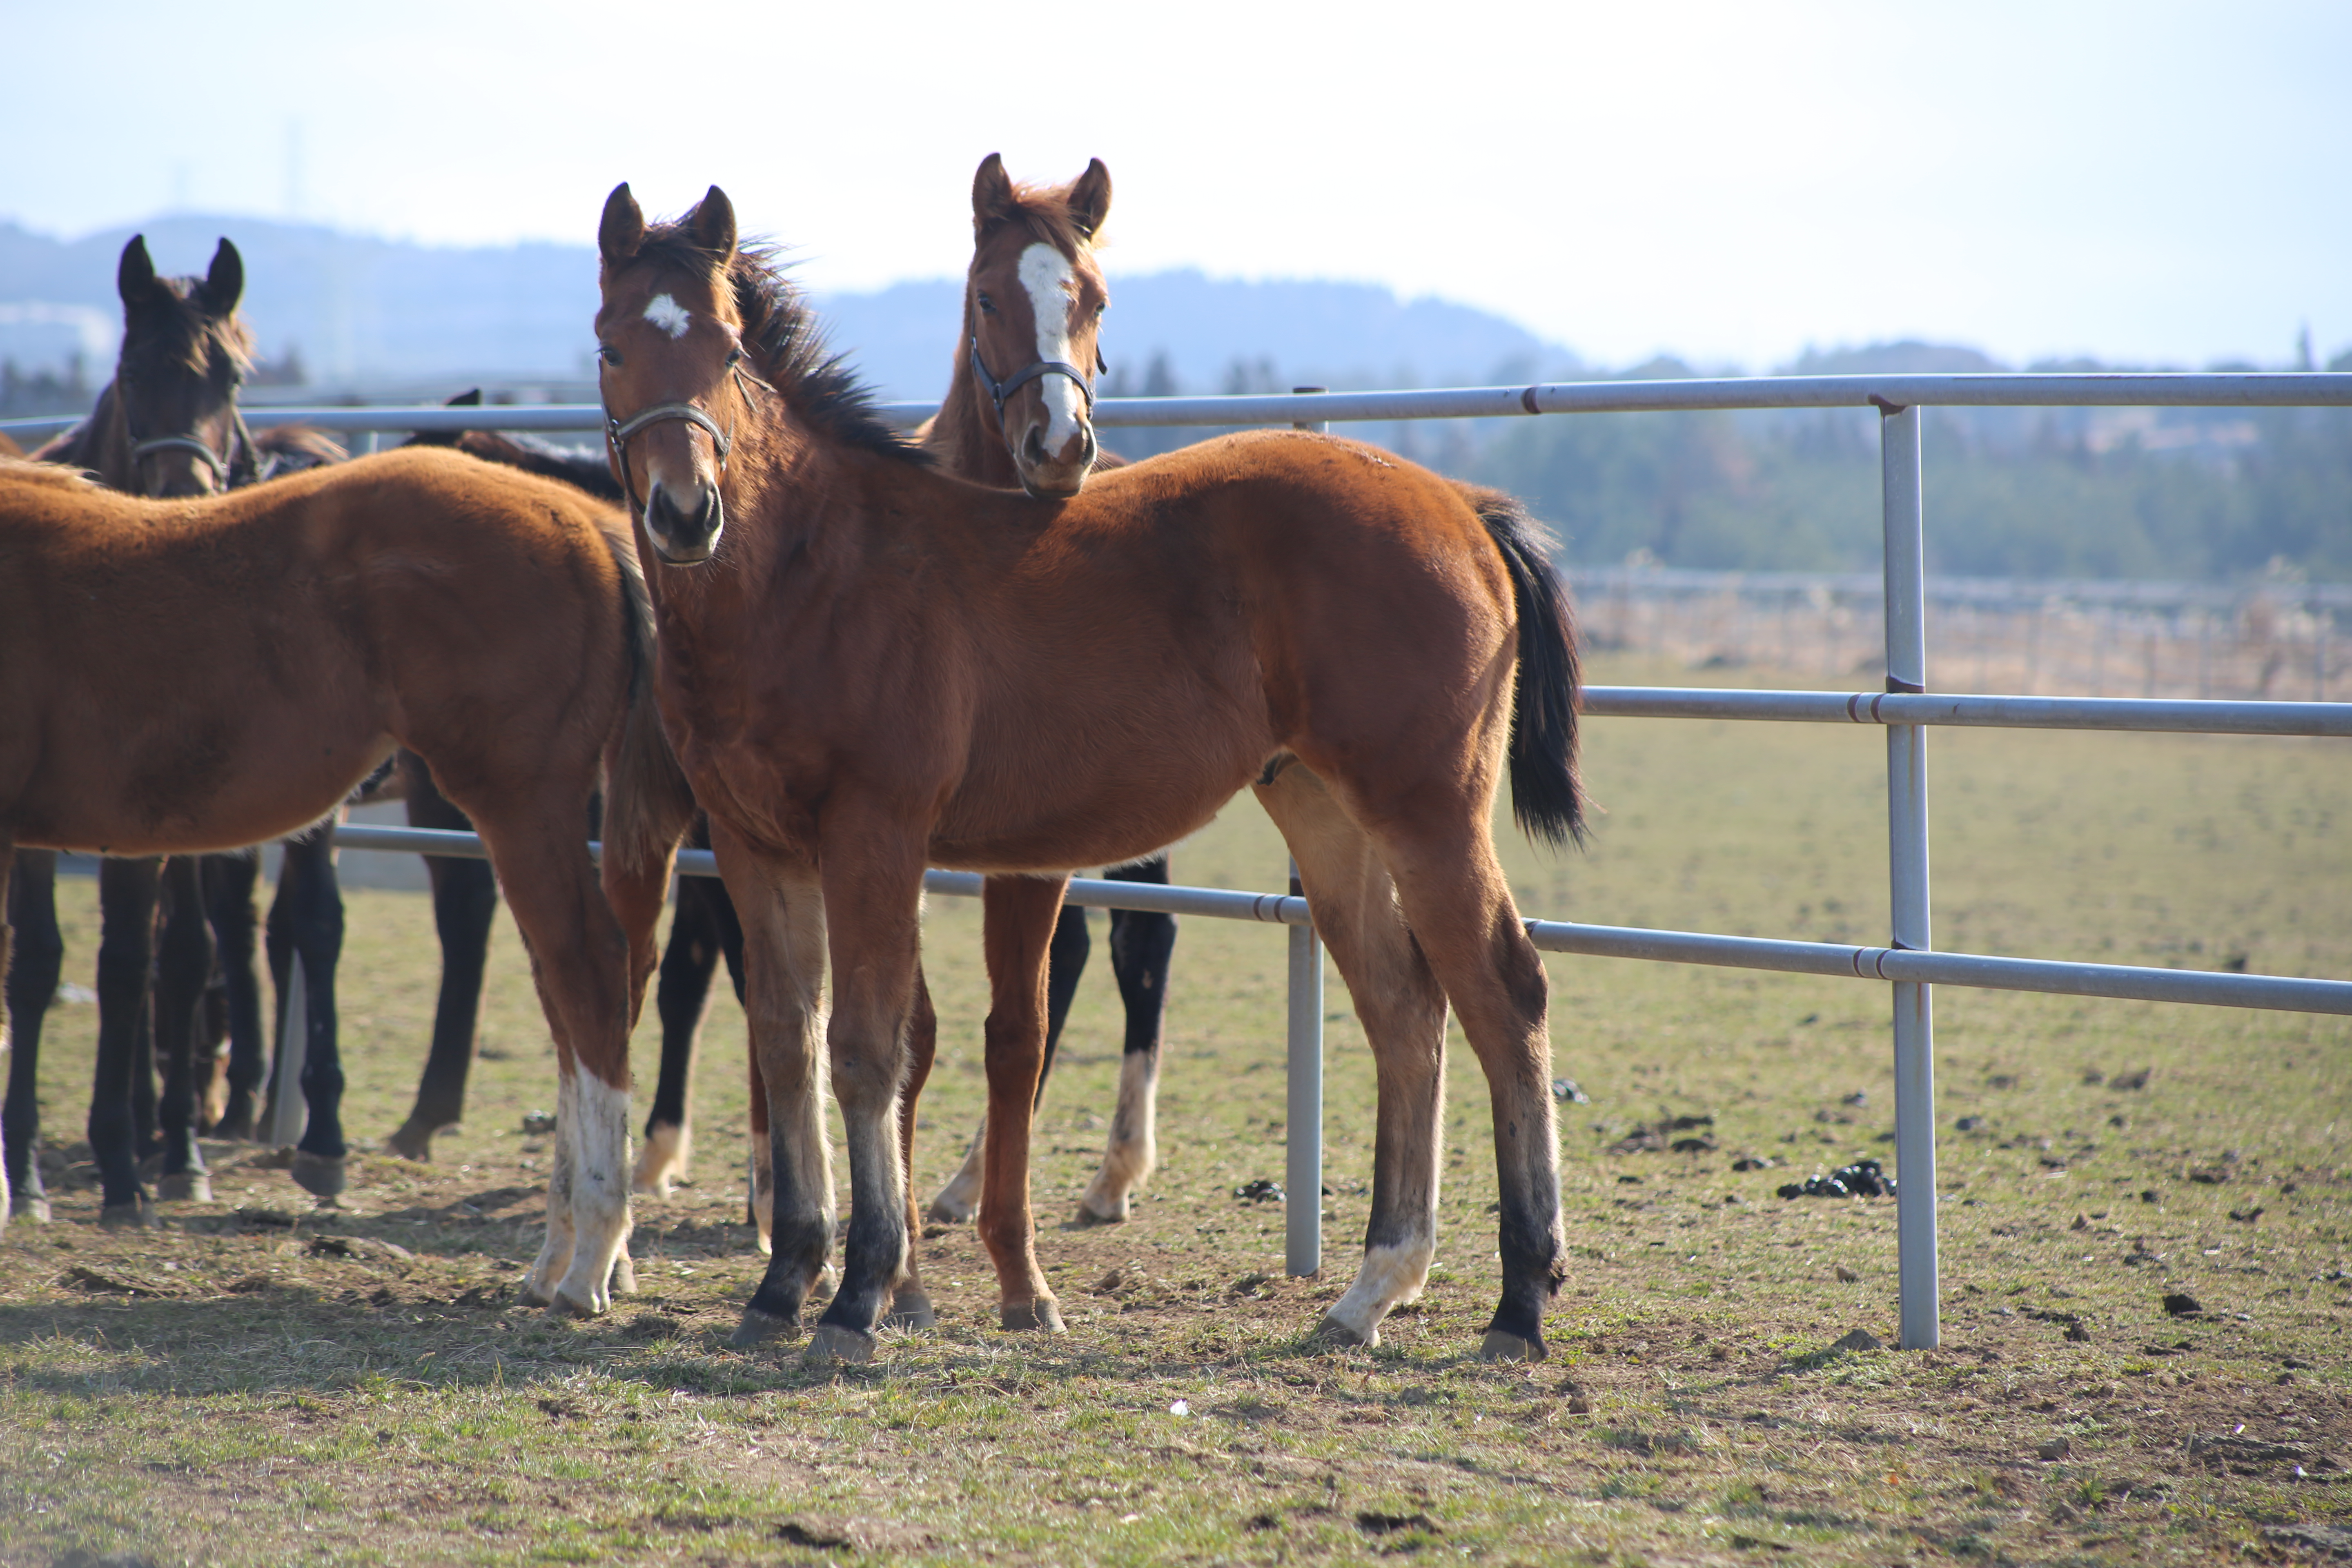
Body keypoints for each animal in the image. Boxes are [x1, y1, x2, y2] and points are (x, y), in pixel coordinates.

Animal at [592, 181, 1580, 1363]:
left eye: (731, 351)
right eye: (610, 346)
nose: (685, 512)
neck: (812, 570)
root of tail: (1461, 504)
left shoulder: (875, 834)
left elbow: (869, 1049)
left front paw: (860, 1294)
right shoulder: (754, 843)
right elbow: (789, 1041)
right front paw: (785, 1279)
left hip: (1427, 808)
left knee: (1504, 992)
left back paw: (1519, 1299)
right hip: (1323, 808)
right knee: (1403, 1003)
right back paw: (1372, 1288)